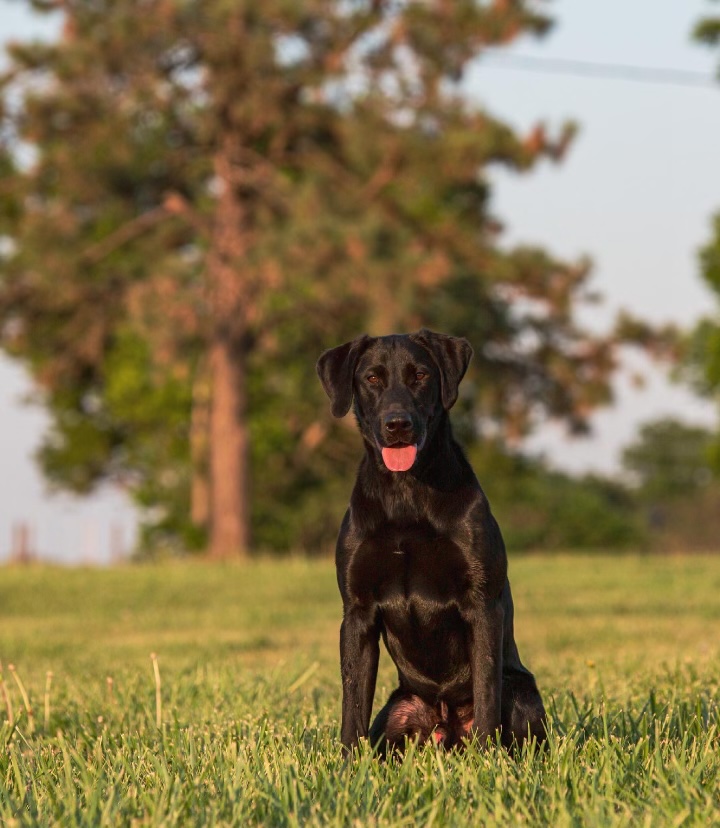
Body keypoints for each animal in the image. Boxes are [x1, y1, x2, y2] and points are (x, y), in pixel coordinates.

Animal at [316, 330, 544, 756]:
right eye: (372, 378)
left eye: (420, 375)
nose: (397, 424)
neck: (407, 495)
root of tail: (445, 724)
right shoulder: (357, 612)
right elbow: (352, 704)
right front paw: (349, 764)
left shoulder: (482, 605)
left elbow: (486, 695)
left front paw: (487, 761)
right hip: (398, 709)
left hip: (521, 692)